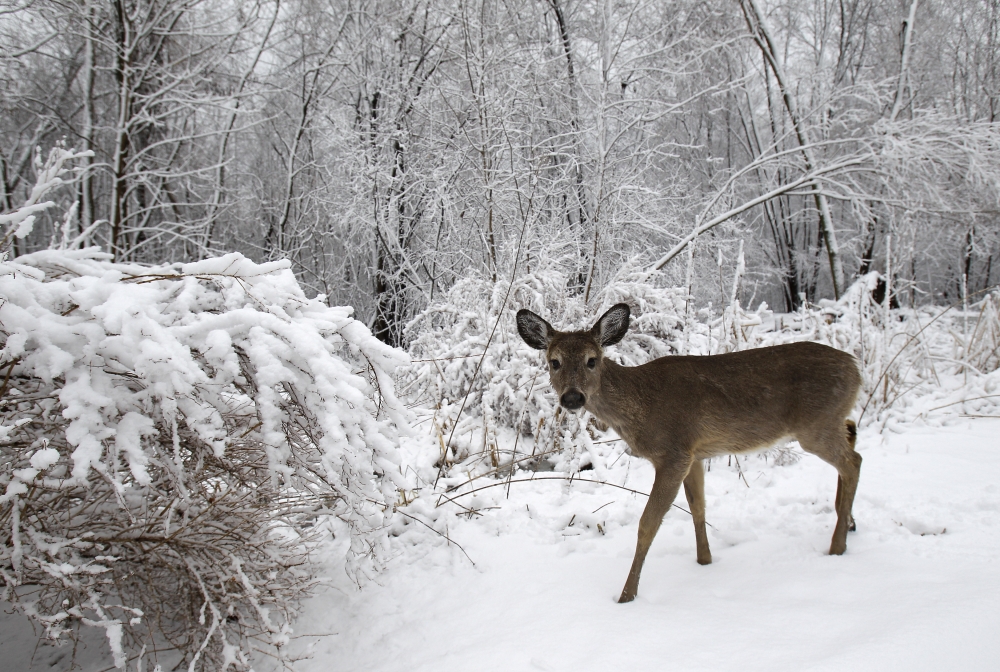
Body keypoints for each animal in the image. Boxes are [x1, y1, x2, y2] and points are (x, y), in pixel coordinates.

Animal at [516, 303, 863, 603]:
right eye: (554, 361)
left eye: (592, 360)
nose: (572, 398)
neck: (642, 405)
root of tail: (857, 369)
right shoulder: (693, 454)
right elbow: (698, 508)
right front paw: (705, 562)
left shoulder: (674, 453)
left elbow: (647, 525)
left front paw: (626, 596)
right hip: (828, 422)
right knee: (852, 434)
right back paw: (849, 523)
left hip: (816, 425)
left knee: (853, 462)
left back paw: (837, 546)